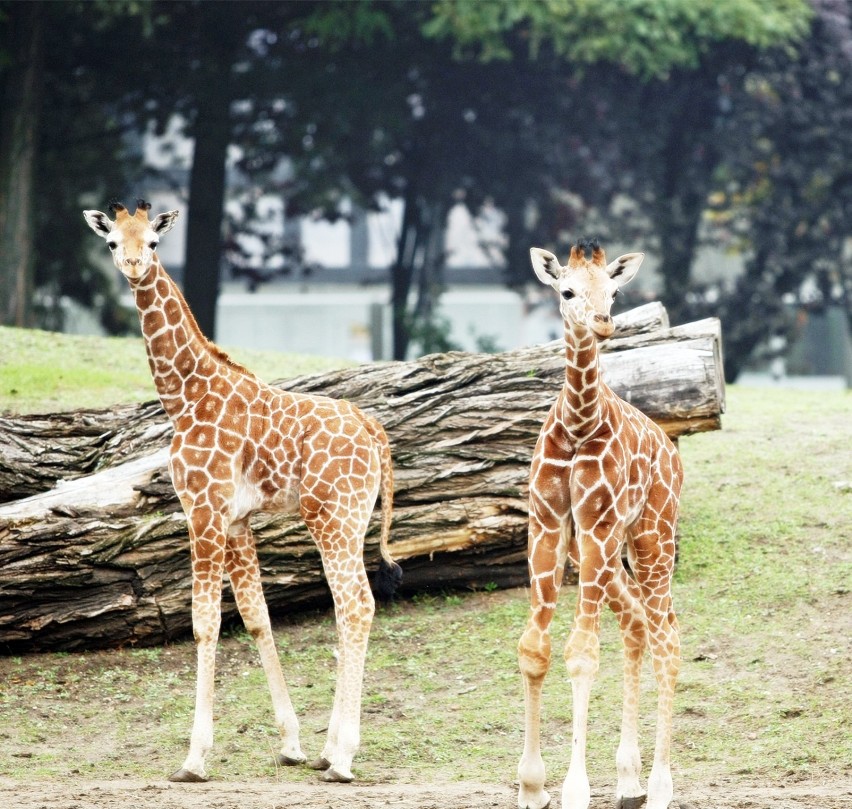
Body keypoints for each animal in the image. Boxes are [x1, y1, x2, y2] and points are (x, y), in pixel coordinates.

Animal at [81, 200, 402, 784]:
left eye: (154, 242)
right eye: (113, 241)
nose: (135, 265)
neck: (184, 397)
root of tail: (375, 432)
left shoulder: (202, 509)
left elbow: (204, 624)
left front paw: (193, 759)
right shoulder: (236, 518)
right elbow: (256, 616)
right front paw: (291, 742)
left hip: (332, 516)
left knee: (357, 604)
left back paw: (343, 758)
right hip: (350, 518)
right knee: (350, 607)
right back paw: (328, 751)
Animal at [512, 238, 684, 808]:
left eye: (614, 291)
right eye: (567, 291)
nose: (605, 322)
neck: (578, 423)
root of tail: (673, 455)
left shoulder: (594, 524)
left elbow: (582, 654)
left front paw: (574, 789)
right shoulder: (547, 527)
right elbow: (534, 649)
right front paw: (531, 785)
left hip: (651, 536)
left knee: (667, 638)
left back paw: (659, 787)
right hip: (608, 552)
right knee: (637, 623)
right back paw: (629, 780)